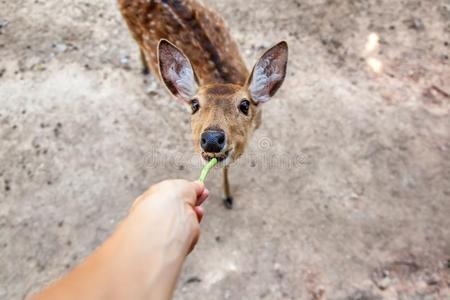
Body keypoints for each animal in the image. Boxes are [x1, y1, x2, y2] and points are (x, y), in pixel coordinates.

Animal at [118, 0, 288, 209]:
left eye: (245, 105)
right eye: (194, 105)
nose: (212, 138)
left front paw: (228, 196)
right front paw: (227, 196)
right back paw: (143, 67)